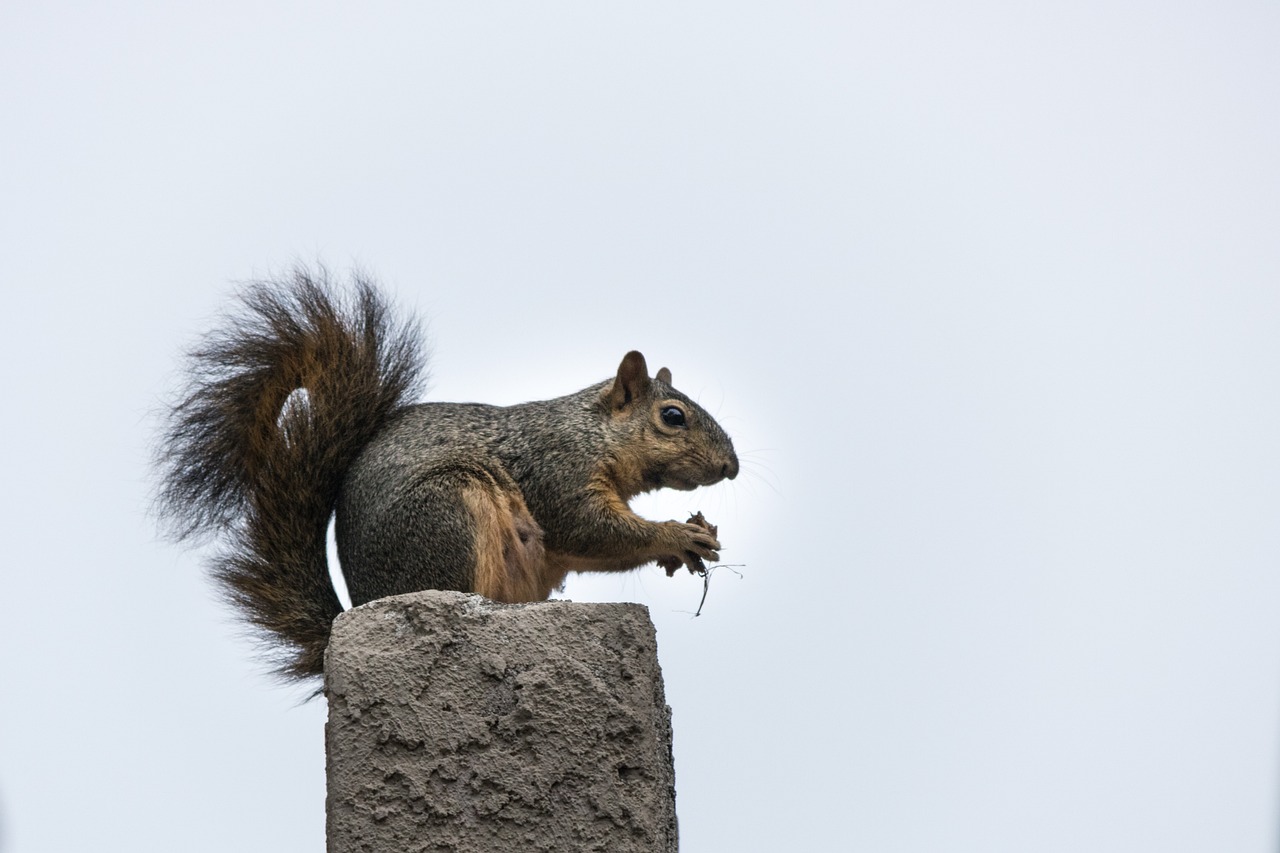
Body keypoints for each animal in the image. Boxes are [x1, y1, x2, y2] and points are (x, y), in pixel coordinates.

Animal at [154, 268, 742, 681]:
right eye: (673, 417)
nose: (731, 467)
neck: (589, 433)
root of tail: (357, 611)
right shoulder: (556, 473)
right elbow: (590, 531)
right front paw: (677, 535)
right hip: (449, 511)